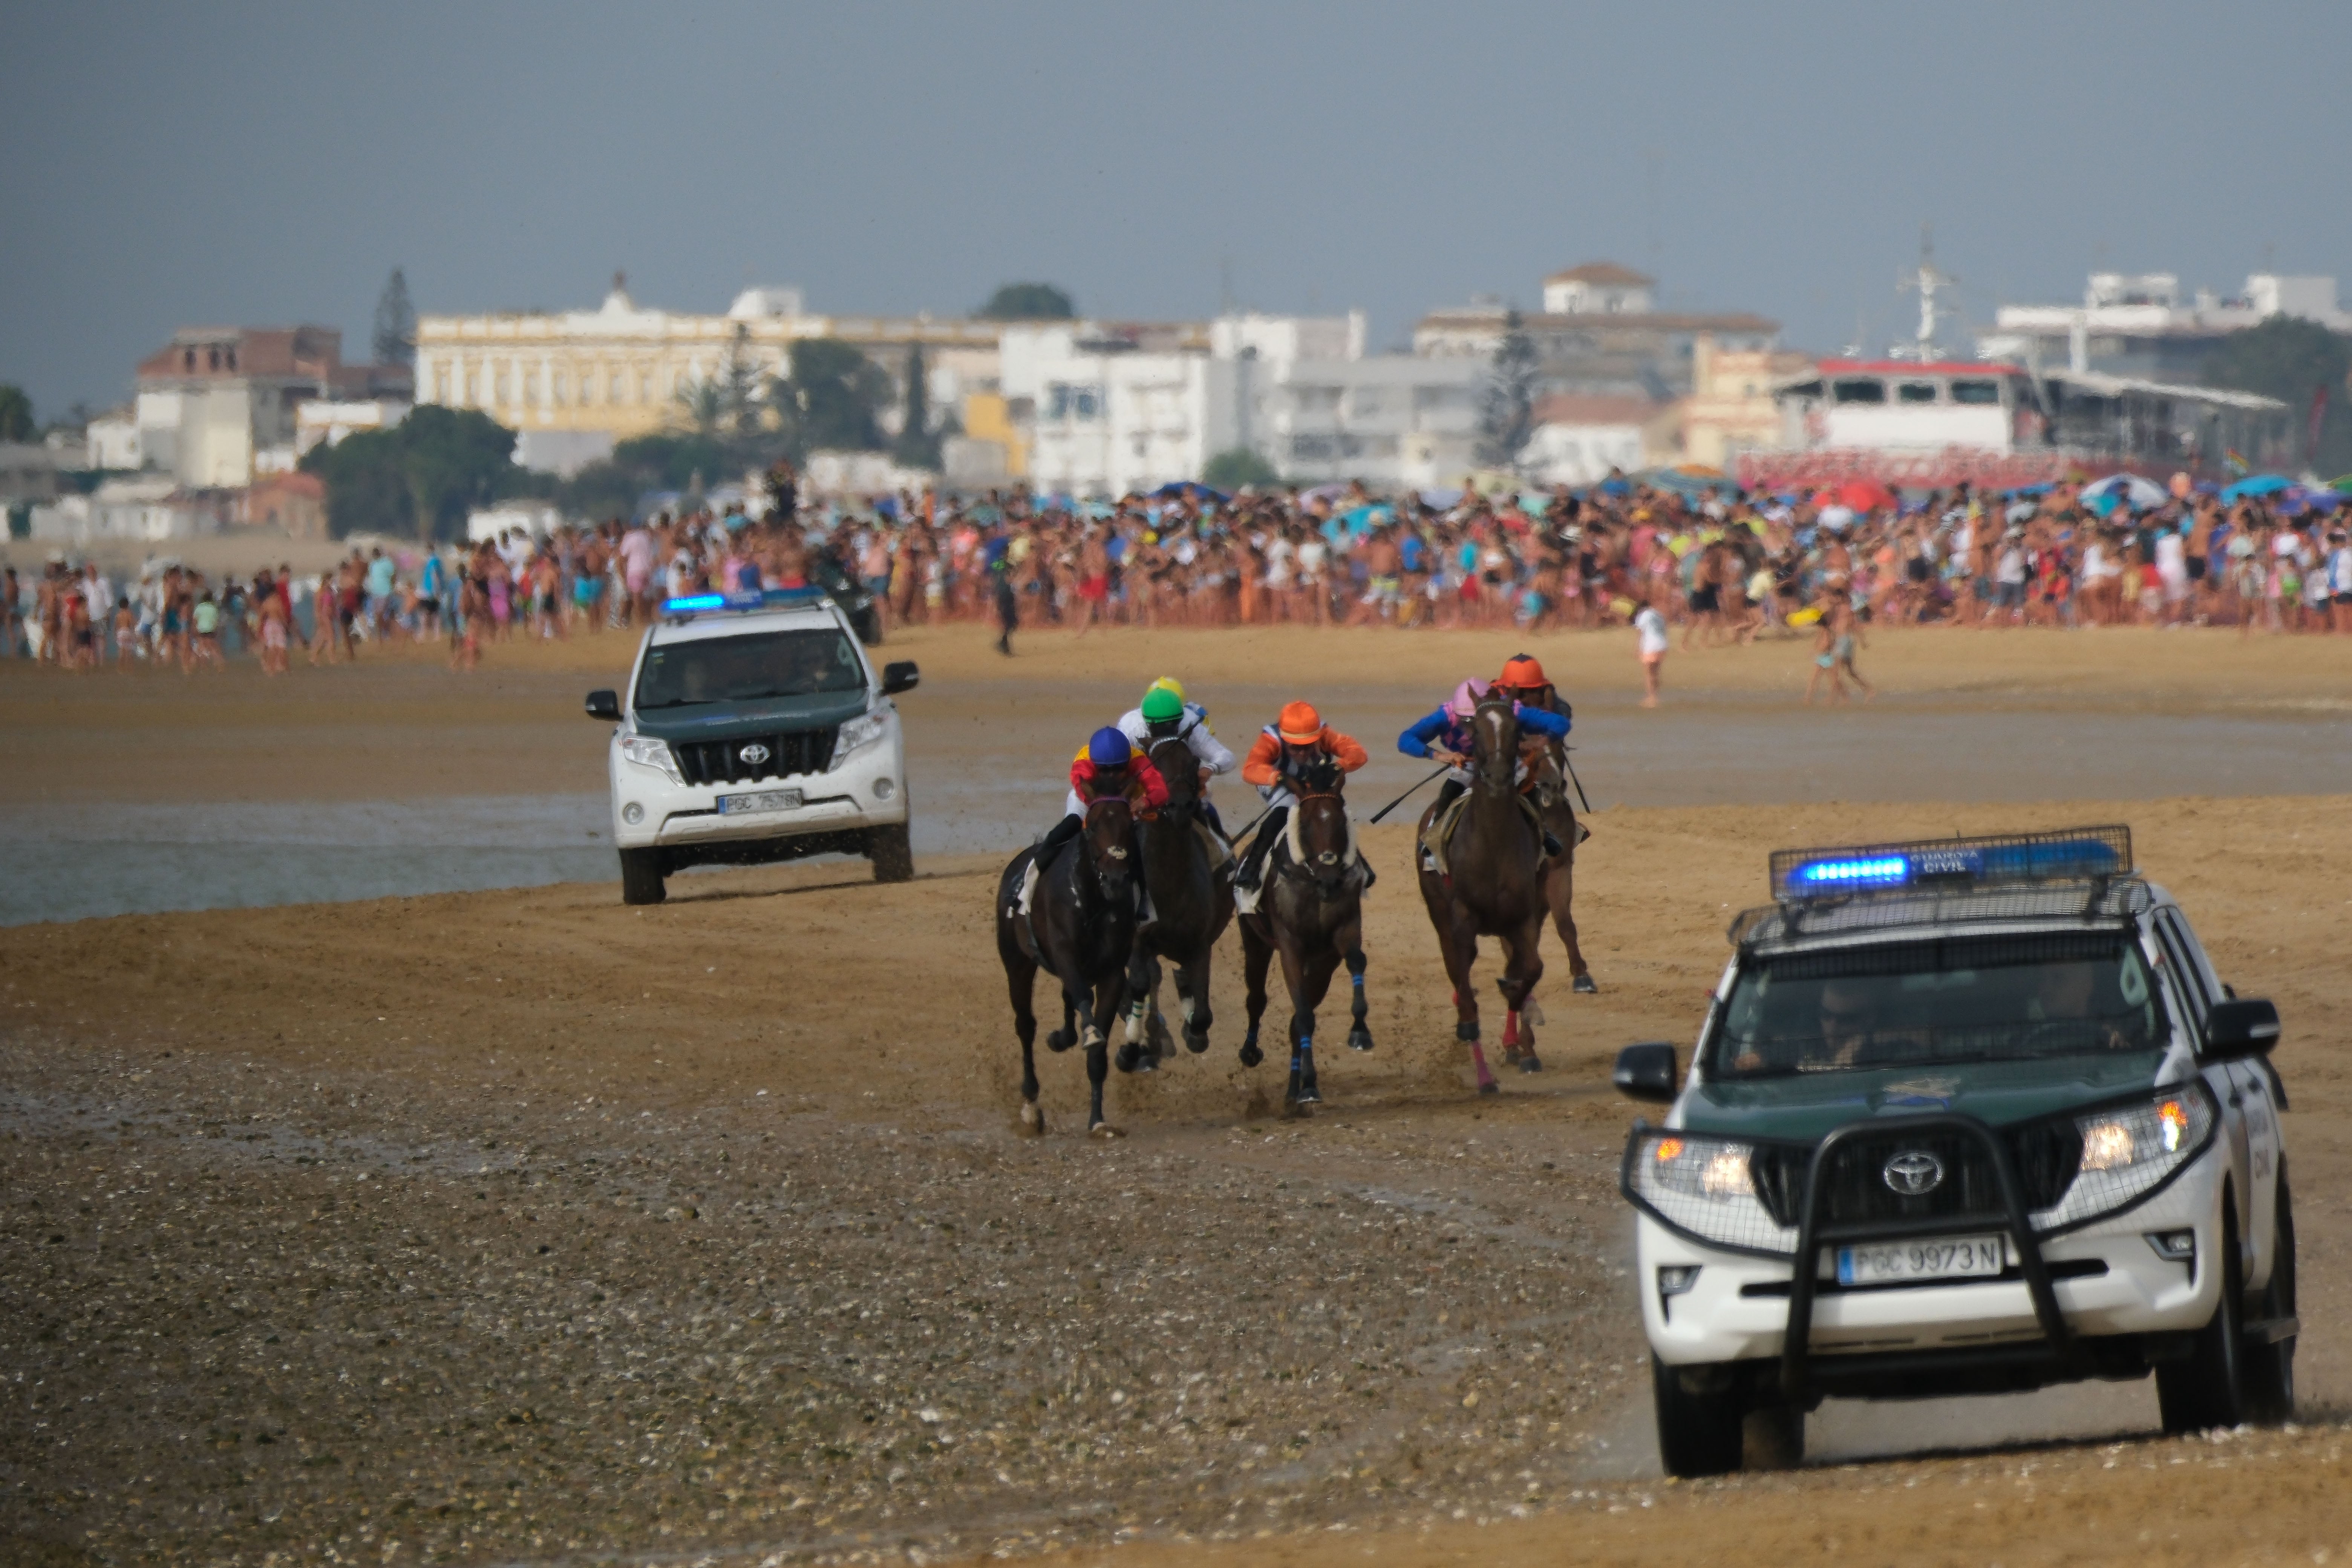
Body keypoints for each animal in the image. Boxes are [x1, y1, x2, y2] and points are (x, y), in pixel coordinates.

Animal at [992, 799, 1138, 1142]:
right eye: (1093, 827)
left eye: (1131, 825)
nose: (1115, 879)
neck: (1093, 899)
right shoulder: (1066, 956)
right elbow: (1082, 1002)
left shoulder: (1112, 973)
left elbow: (1097, 1050)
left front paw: (1098, 1121)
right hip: (1017, 962)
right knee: (1025, 1026)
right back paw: (1031, 1106)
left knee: (1067, 1001)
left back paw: (1062, 1037)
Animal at [1124, 738, 1242, 1067]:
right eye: (1155, 764)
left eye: (1193, 762)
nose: (1178, 806)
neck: (1168, 884)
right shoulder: (1138, 940)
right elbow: (1141, 981)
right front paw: (1134, 1045)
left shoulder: (1200, 942)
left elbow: (1201, 1011)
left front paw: (1193, 1031)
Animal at [1232, 757, 1374, 1105]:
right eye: (1307, 824)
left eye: (1341, 822)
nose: (1330, 881)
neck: (1313, 882)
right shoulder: (1290, 946)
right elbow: (1303, 1014)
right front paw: (1309, 1083)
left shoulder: (1342, 932)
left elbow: (1356, 960)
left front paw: (1360, 1031)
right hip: (1254, 940)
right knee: (1257, 997)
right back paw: (1252, 1052)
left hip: (1320, 965)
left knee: (1297, 1018)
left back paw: (1296, 1087)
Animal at [1420, 696, 1552, 1090]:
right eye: (1474, 730)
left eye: (1516, 728)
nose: (1496, 777)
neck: (1492, 842)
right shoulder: (1462, 920)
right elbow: (1466, 991)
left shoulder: (1524, 918)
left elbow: (1531, 970)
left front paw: (1517, 1001)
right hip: (1441, 917)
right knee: (1458, 975)